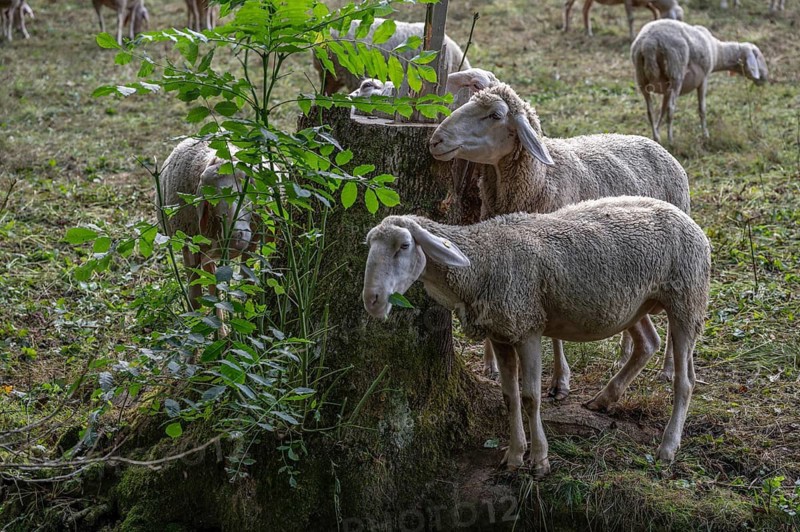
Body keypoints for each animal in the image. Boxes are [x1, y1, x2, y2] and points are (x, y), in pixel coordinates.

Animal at [156, 138, 257, 329]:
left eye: (246, 186)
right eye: (212, 196)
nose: (236, 238)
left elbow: (247, 279)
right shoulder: (192, 244)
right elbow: (199, 294)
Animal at [362, 196, 711, 476]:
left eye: (404, 245)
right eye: (370, 246)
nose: (372, 300)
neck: (482, 259)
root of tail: (687, 218)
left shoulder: (526, 325)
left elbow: (531, 397)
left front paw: (540, 460)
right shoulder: (502, 331)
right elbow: (510, 397)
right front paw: (514, 456)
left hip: (686, 298)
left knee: (685, 382)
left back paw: (667, 448)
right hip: (635, 304)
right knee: (648, 343)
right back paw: (604, 398)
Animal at [429, 82, 690, 399]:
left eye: (495, 115)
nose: (436, 140)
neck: (543, 178)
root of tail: (656, 145)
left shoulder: (557, 260)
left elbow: (554, 336)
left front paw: (559, 380)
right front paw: (495, 365)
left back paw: (668, 368)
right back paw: (624, 353)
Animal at [631, 19, 768, 143]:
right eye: (759, 57)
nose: (765, 78)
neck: (717, 52)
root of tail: (650, 43)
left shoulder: (666, 91)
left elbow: (662, 110)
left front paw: (657, 133)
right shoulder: (703, 79)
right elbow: (702, 109)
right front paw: (705, 135)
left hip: (641, 78)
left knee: (650, 111)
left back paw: (656, 137)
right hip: (676, 71)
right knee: (671, 109)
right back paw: (671, 141)